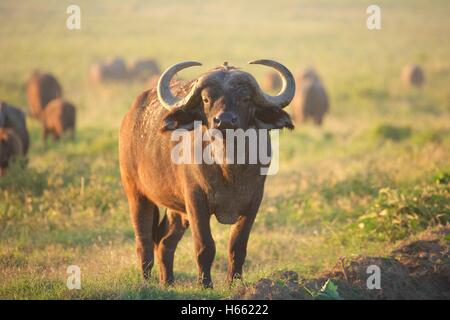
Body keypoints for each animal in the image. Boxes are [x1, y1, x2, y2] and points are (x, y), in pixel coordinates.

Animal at [118, 60, 296, 288]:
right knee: (145, 241)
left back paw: (168, 282)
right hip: (136, 193)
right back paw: (147, 281)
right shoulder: (196, 200)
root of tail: (131, 117)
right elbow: (205, 246)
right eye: (206, 99)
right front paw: (205, 284)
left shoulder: (254, 201)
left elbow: (237, 246)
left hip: (177, 210)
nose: (225, 120)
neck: (229, 167)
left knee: (165, 241)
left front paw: (233, 283)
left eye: (245, 98)